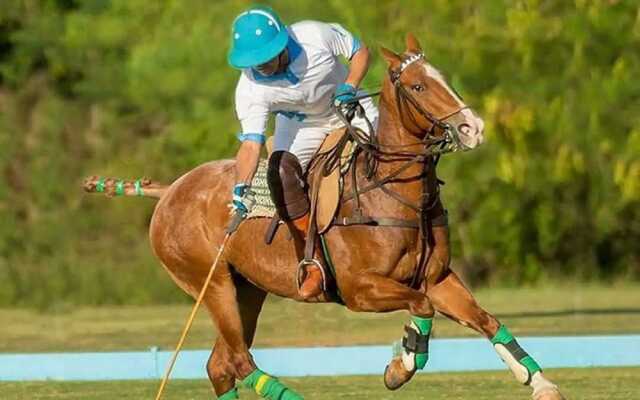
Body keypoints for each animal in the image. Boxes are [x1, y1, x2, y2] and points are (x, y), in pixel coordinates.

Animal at [84, 34, 564, 400]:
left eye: (441, 77)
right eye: (417, 87)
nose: (472, 128)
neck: (389, 190)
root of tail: (170, 189)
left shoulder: (438, 277)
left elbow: (484, 319)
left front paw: (540, 383)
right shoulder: (360, 289)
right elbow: (420, 306)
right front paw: (401, 365)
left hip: (247, 289)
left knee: (221, 364)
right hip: (210, 282)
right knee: (238, 359)